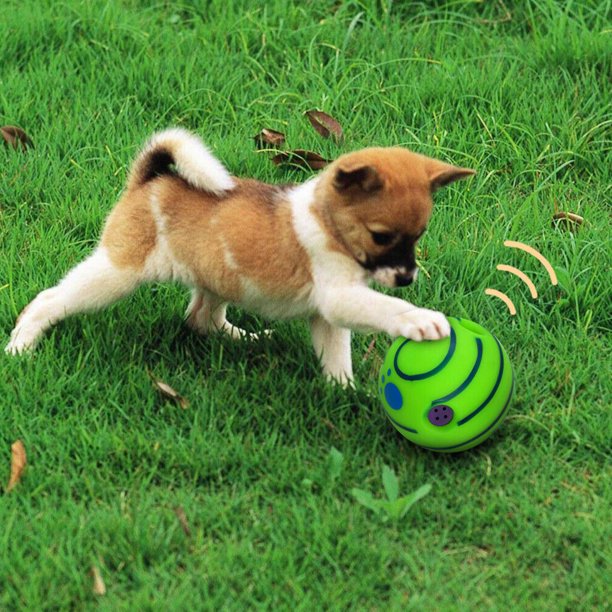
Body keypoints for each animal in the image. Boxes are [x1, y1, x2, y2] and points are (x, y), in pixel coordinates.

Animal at [3, 128, 474, 382]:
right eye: (381, 236)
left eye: (419, 235)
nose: (407, 279)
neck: (327, 222)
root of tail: (148, 180)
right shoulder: (340, 298)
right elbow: (385, 308)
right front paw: (420, 320)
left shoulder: (329, 313)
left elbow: (337, 356)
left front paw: (343, 392)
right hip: (116, 273)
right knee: (50, 299)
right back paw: (22, 342)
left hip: (216, 276)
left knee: (201, 318)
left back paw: (247, 338)